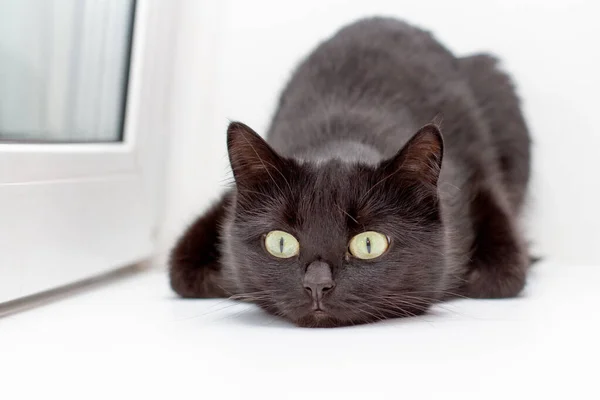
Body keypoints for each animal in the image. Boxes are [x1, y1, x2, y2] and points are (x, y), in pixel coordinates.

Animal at [168, 17, 528, 326]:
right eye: (280, 243)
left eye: (368, 244)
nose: (316, 285)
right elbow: (183, 273)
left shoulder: (477, 177)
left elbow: (498, 279)